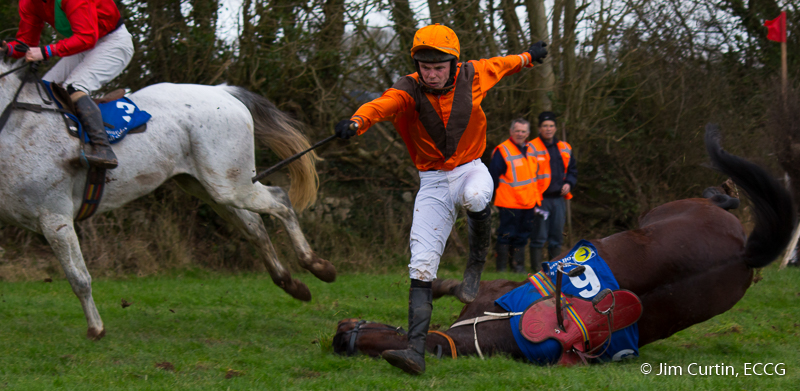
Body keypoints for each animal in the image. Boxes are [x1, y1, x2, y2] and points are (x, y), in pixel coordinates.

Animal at [0, 60, 334, 340]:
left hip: (230, 183)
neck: (16, 125)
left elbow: (78, 277)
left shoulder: (54, 216)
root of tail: (222, 91)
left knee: (281, 201)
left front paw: (96, 329)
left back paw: (317, 265)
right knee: (254, 226)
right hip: (207, 186)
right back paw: (291, 284)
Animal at [332, 125, 792, 364]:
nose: (339, 336)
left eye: (366, 337)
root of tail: (744, 250)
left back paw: (723, 190)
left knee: (717, 197)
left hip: (665, 210)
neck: (496, 329)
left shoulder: (490, 290)